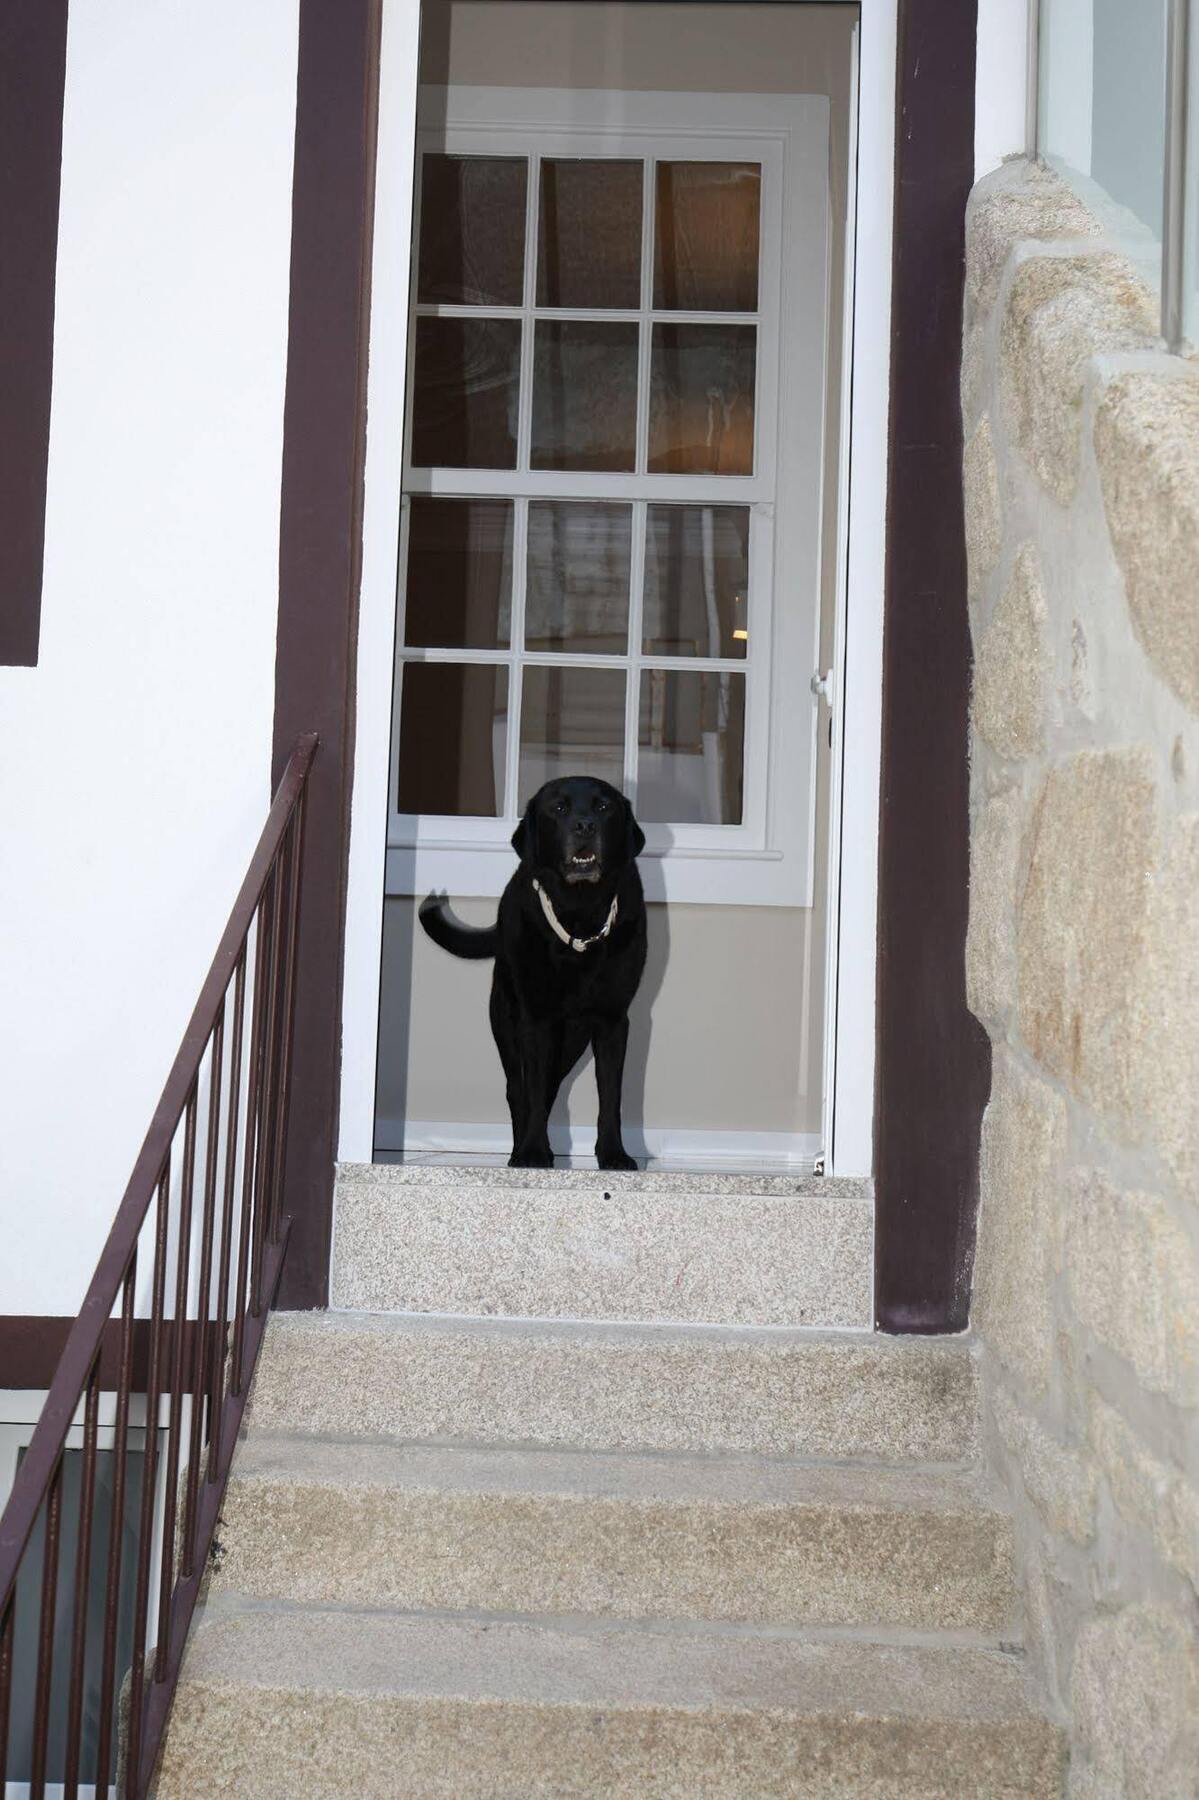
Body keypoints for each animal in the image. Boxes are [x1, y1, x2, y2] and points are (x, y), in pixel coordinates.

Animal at [417, 774, 644, 1166]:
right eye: (559, 808)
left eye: (604, 807)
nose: (585, 826)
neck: (579, 915)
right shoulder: (535, 1019)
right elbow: (532, 1091)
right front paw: (533, 1152)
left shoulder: (612, 1020)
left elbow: (610, 1096)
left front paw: (613, 1154)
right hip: (506, 1018)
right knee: (517, 1088)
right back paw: (519, 1147)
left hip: (571, 1039)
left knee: (551, 1086)